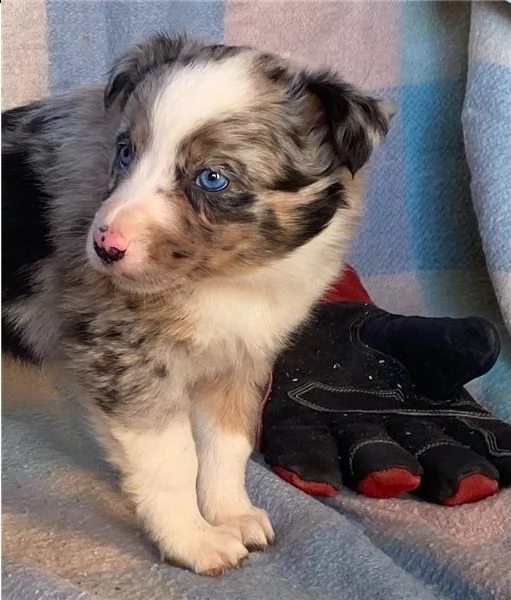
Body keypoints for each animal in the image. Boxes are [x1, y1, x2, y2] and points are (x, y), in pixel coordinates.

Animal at [2, 34, 392, 576]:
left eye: (212, 179)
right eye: (126, 151)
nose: (103, 247)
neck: (230, 281)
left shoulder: (243, 355)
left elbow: (227, 444)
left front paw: (231, 515)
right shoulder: (127, 357)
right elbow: (173, 459)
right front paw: (192, 539)